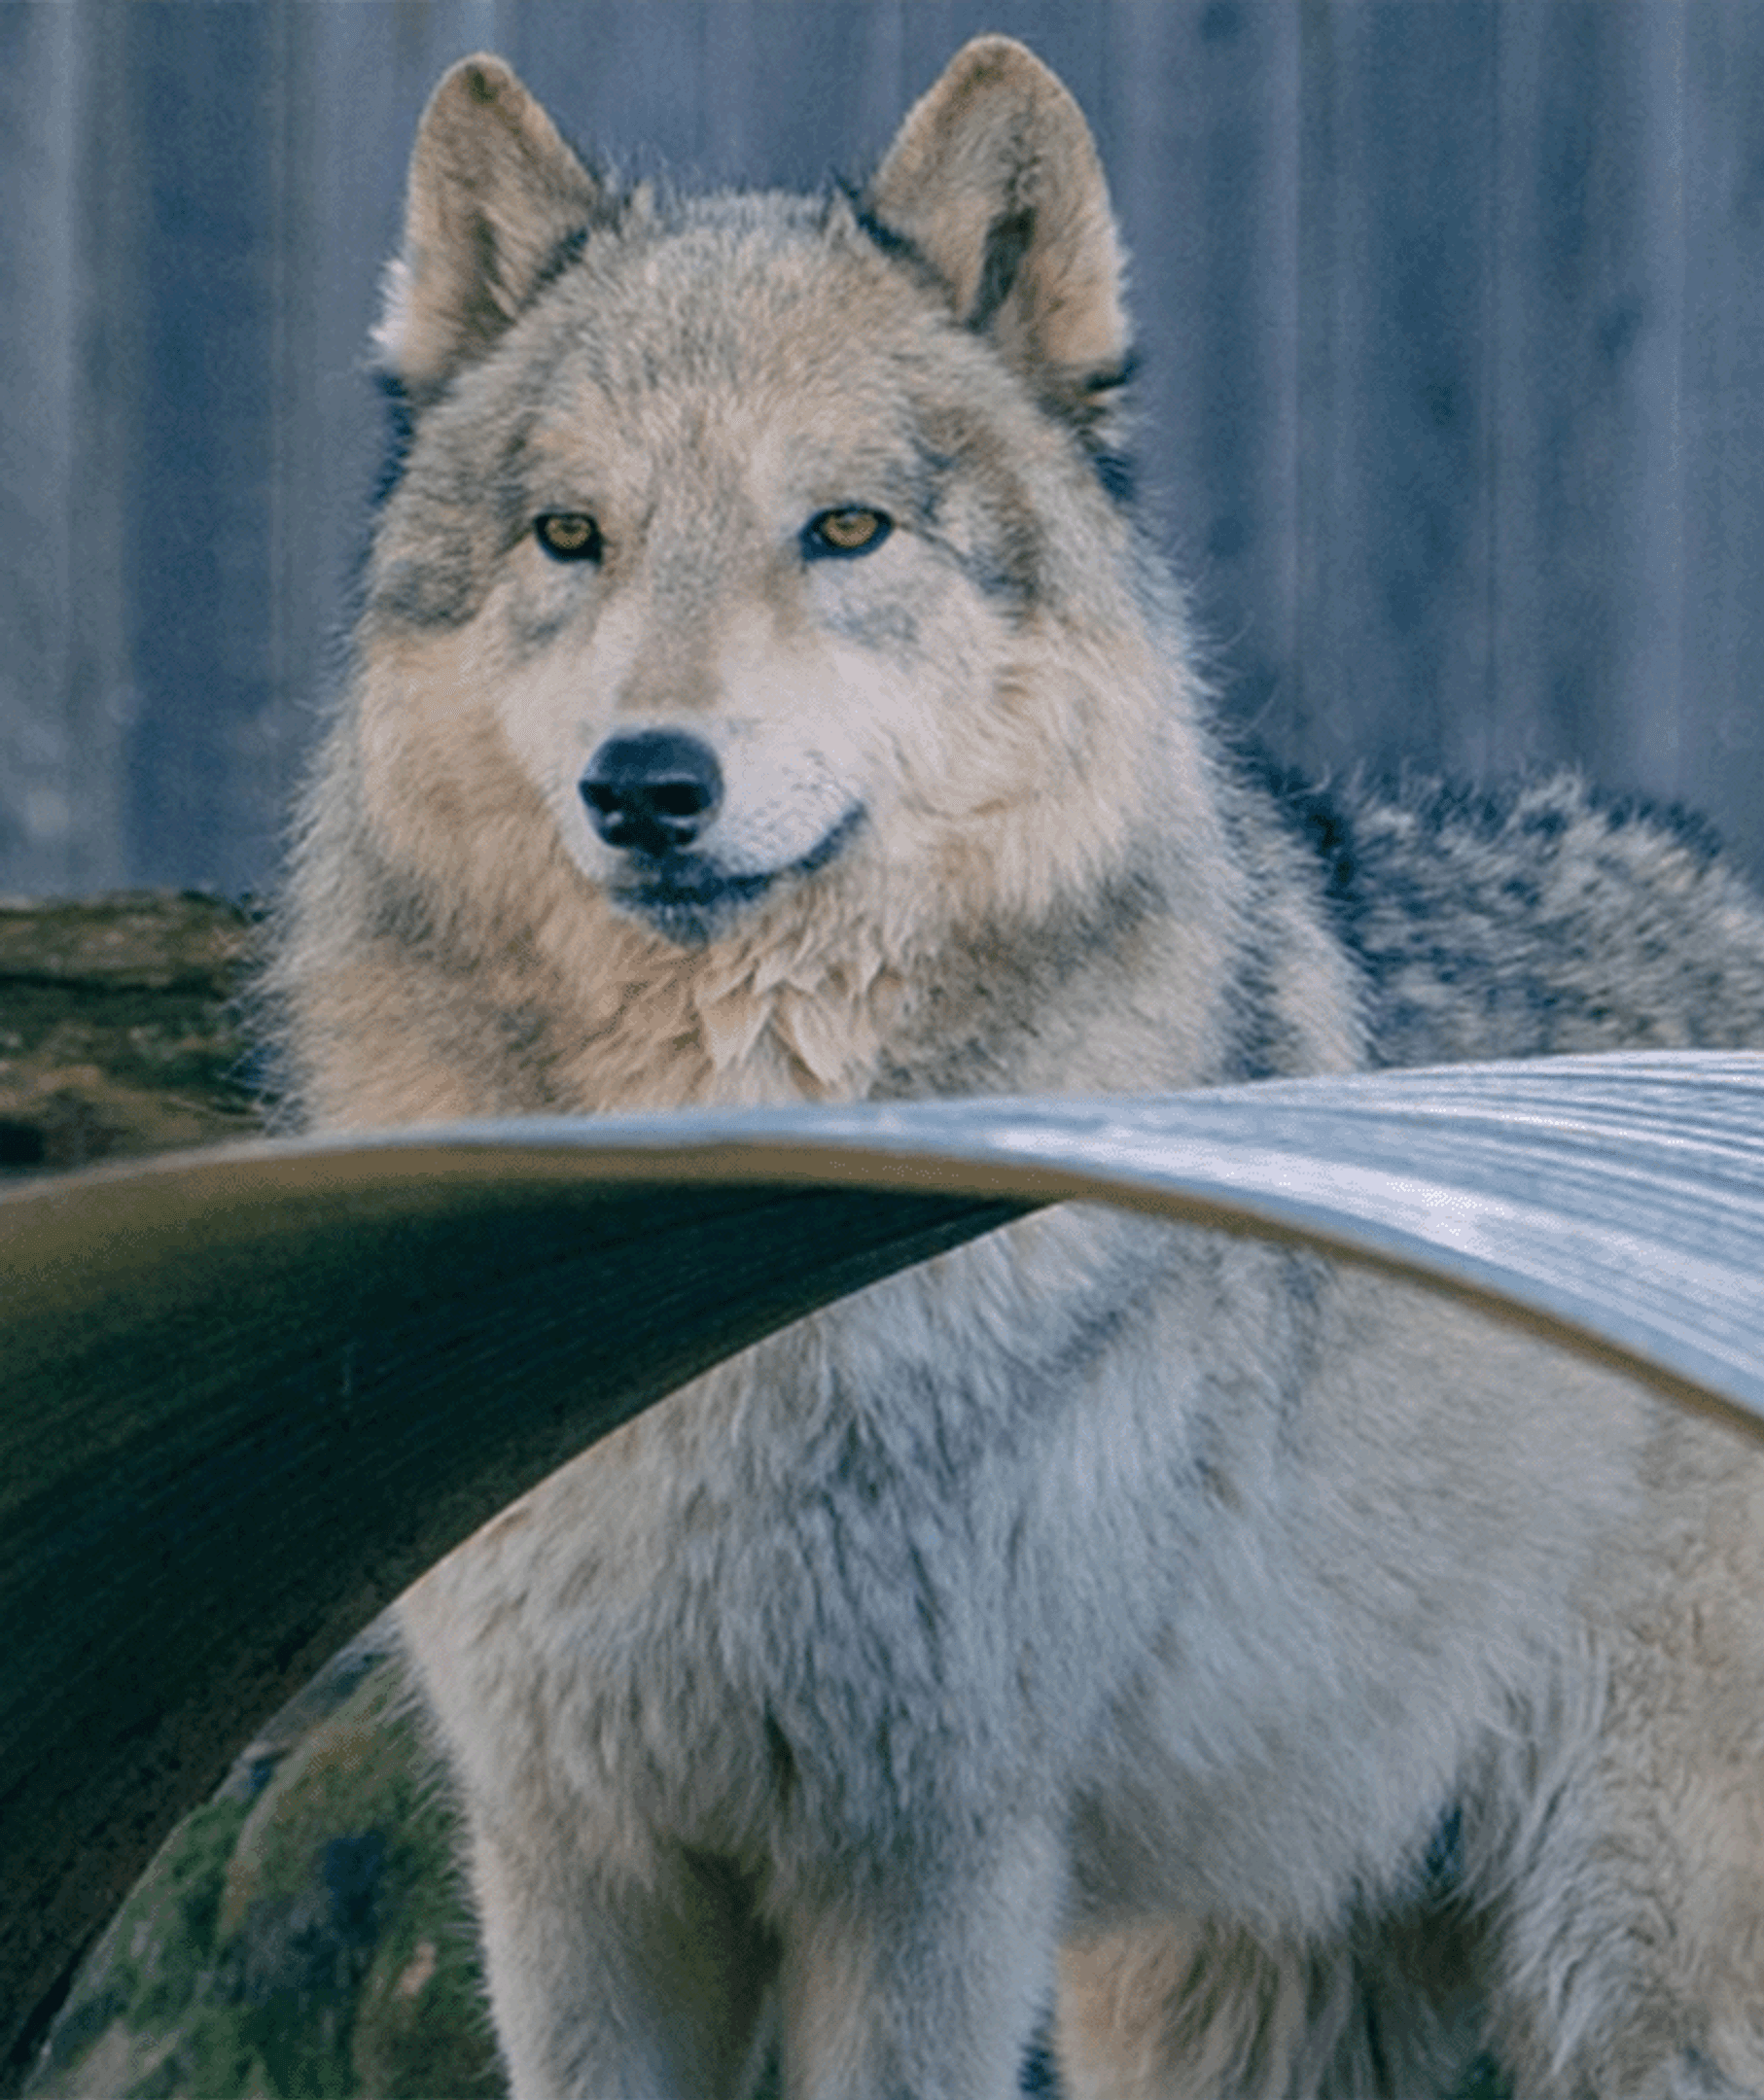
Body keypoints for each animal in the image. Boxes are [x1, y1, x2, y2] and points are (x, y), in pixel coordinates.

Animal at [264, 34, 1764, 2099]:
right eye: (570, 538)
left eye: (843, 530)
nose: (645, 785)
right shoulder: (577, 1859)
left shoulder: (931, 1862)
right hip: (1220, 1994)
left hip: (1623, 1966)